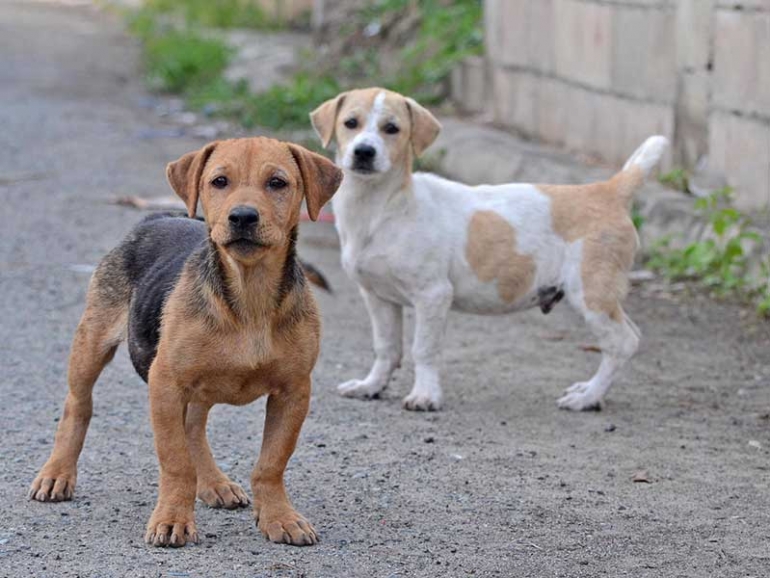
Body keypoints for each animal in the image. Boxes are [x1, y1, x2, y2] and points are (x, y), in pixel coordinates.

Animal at [29, 135, 342, 544]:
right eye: (219, 181)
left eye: (277, 183)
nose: (243, 217)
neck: (250, 295)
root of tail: (158, 217)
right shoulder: (166, 381)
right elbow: (175, 460)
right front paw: (172, 519)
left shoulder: (293, 391)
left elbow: (271, 462)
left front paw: (280, 517)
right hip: (92, 341)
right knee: (78, 405)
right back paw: (57, 474)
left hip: (198, 384)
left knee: (193, 426)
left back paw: (214, 484)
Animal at [308, 86, 664, 410]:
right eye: (350, 123)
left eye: (391, 128)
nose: (364, 152)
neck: (380, 208)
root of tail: (608, 191)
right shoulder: (378, 296)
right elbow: (386, 348)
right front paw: (371, 386)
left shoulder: (433, 295)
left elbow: (423, 349)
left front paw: (425, 395)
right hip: (601, 297)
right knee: (627, 337)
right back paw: (588, 391)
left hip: (590, 293)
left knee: (623, 342)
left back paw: (588, 398)